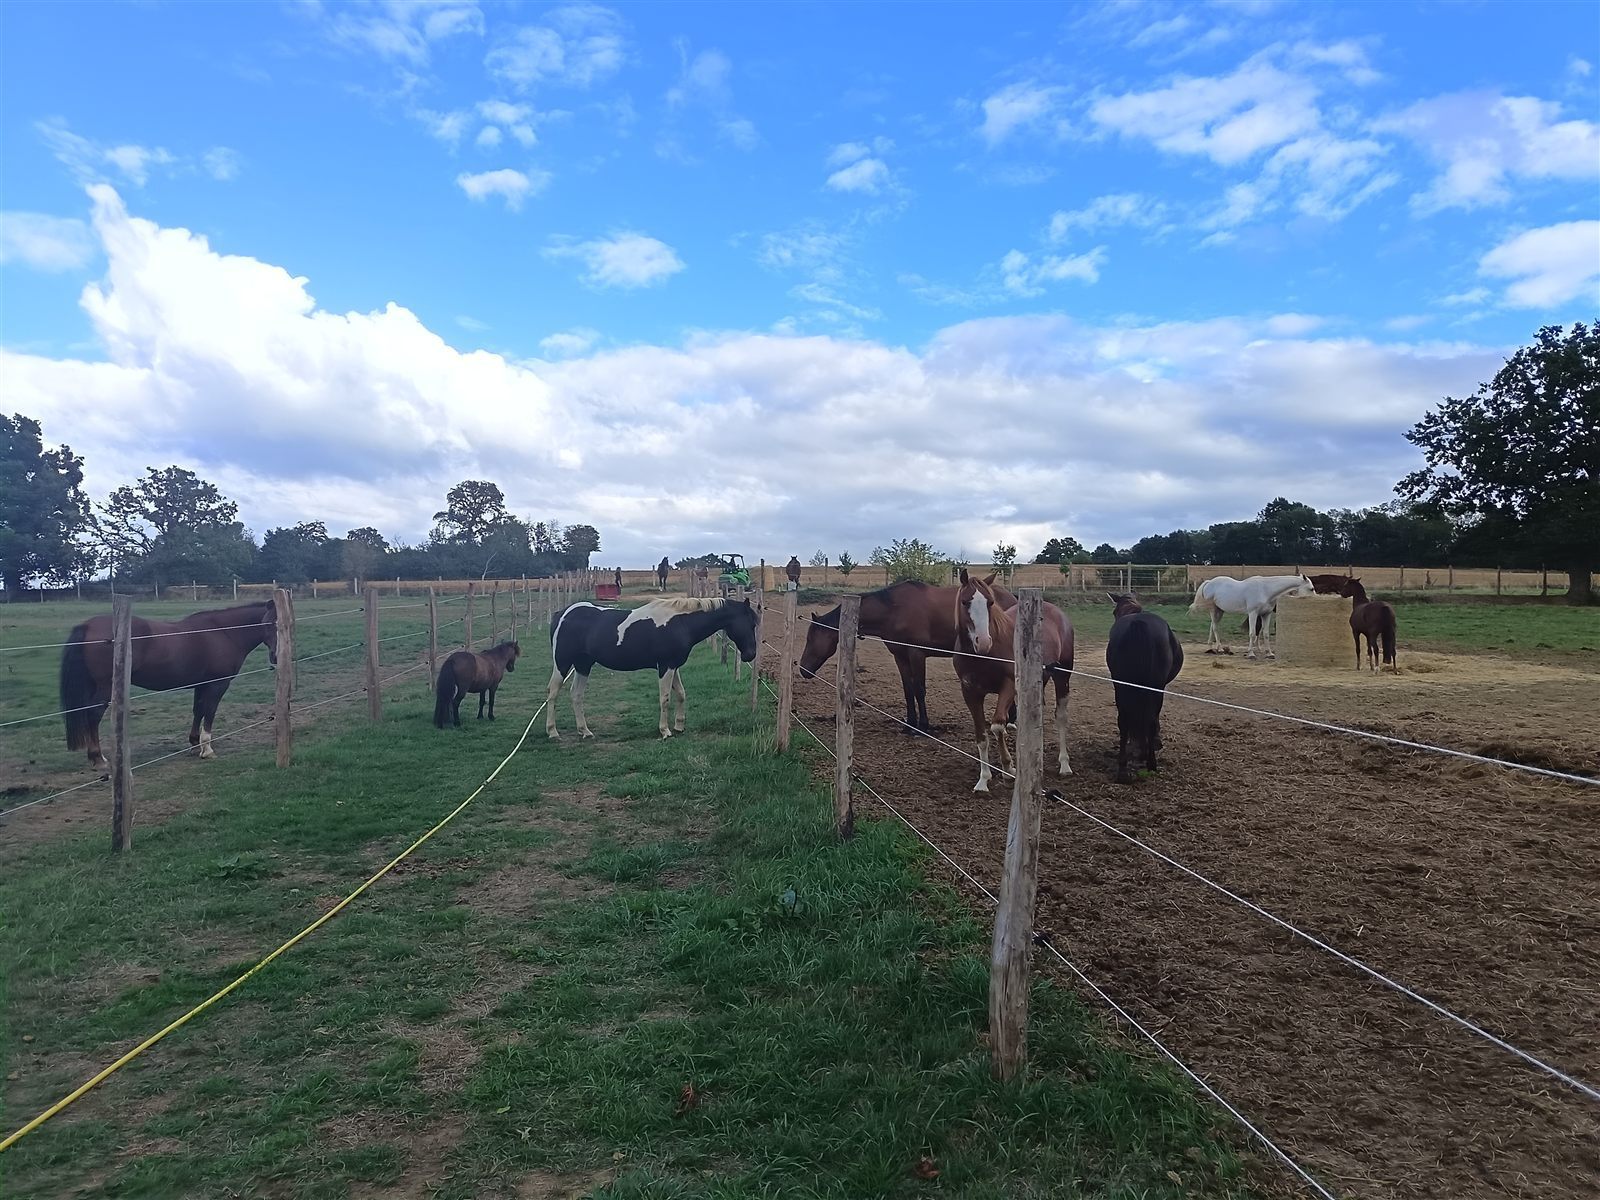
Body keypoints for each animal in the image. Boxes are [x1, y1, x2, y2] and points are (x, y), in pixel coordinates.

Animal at [60, 601, 279, 767]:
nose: (276, 656)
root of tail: (88, 626)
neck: (224, 632)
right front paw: (207, 749)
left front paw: (194, 744)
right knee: (93, 714)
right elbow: (209, 712)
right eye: (268, 624)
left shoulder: (202, 684)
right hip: (105, 687)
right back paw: (98, 757)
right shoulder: (217, 685)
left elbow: (198, 710)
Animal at [546, 597, 757, 740]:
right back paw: (553, 732)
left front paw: (679, 726)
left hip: (583, 664)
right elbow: (665, 699)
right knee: (553, 692)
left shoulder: (673, 666)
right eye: (750, 623)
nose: (750, 655)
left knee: (576, 694)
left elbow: (681, 694)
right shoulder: (665, 666)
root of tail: (562, 614)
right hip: (562, 663)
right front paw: (665, 731)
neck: (681, 623)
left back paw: (585, 731)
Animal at [799, 579, 1018, 733]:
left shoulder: (916, 654)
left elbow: (919, 690)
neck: (893, 610)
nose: (803, 669)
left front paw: (923, 726)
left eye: (810, 638)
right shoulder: (901, 656)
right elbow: (908, 690)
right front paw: (910, 724)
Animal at [953, 571, 1074, 794]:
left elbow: (997, 726)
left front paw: (1008, 768)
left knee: (1061, 717)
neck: (983, 656)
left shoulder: (1008, 687)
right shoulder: (970, 692)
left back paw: (1064, 764)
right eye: (965, 602)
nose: (983, 642)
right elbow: (981, 735)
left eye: (990, 602)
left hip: (1063, 677)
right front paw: (983, 780)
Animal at [1105, 593, 1184, 783]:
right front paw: (1154, 743)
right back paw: (1147, 762)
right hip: (1152, 688)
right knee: (1147, 719)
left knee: (1126, 721)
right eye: (1114, 612)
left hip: (1123, 687)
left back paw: (1126, 769)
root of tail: (1138, 624)